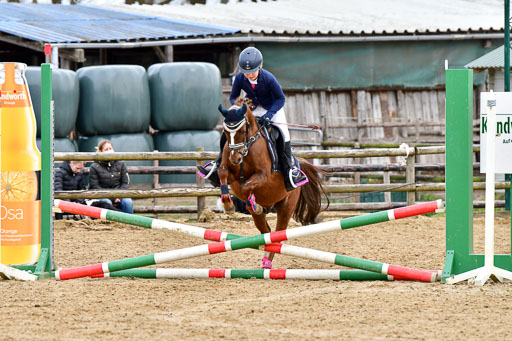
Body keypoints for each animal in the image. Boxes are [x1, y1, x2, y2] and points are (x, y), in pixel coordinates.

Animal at [215, 97, 328, 268]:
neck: (248, 147)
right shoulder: (229, 171)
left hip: (286, 207)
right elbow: (223, 173)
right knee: (266, 233)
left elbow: (247, 186)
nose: (235, 159)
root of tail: (298, 164)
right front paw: (228, 205)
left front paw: (251, 203)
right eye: (226, 133)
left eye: (242, 131)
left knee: (277, 236)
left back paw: (267, 262)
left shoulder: (263, 175)